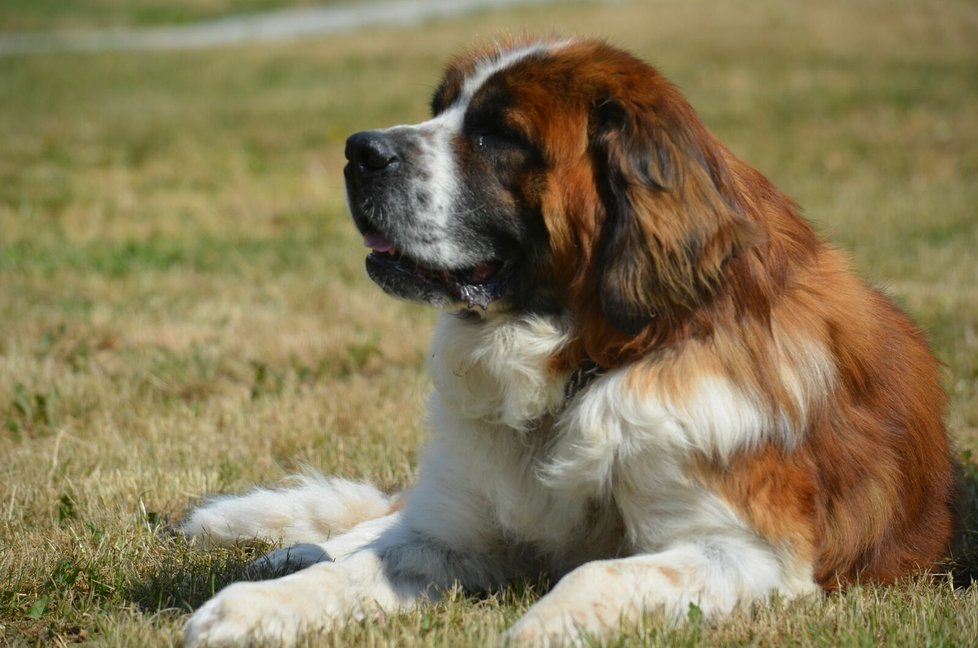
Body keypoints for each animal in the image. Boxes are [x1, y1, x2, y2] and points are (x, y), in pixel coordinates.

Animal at [181, 38, 952, 644]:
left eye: (497, 135)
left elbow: (597, 573)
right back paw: (299, 551)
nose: (359, 150)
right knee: (388, 522)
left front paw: (542, 626)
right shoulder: (462, 537)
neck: (588, 362)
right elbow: (382, 559)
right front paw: (253, 605)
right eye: (440, 107)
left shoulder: (747, 550)